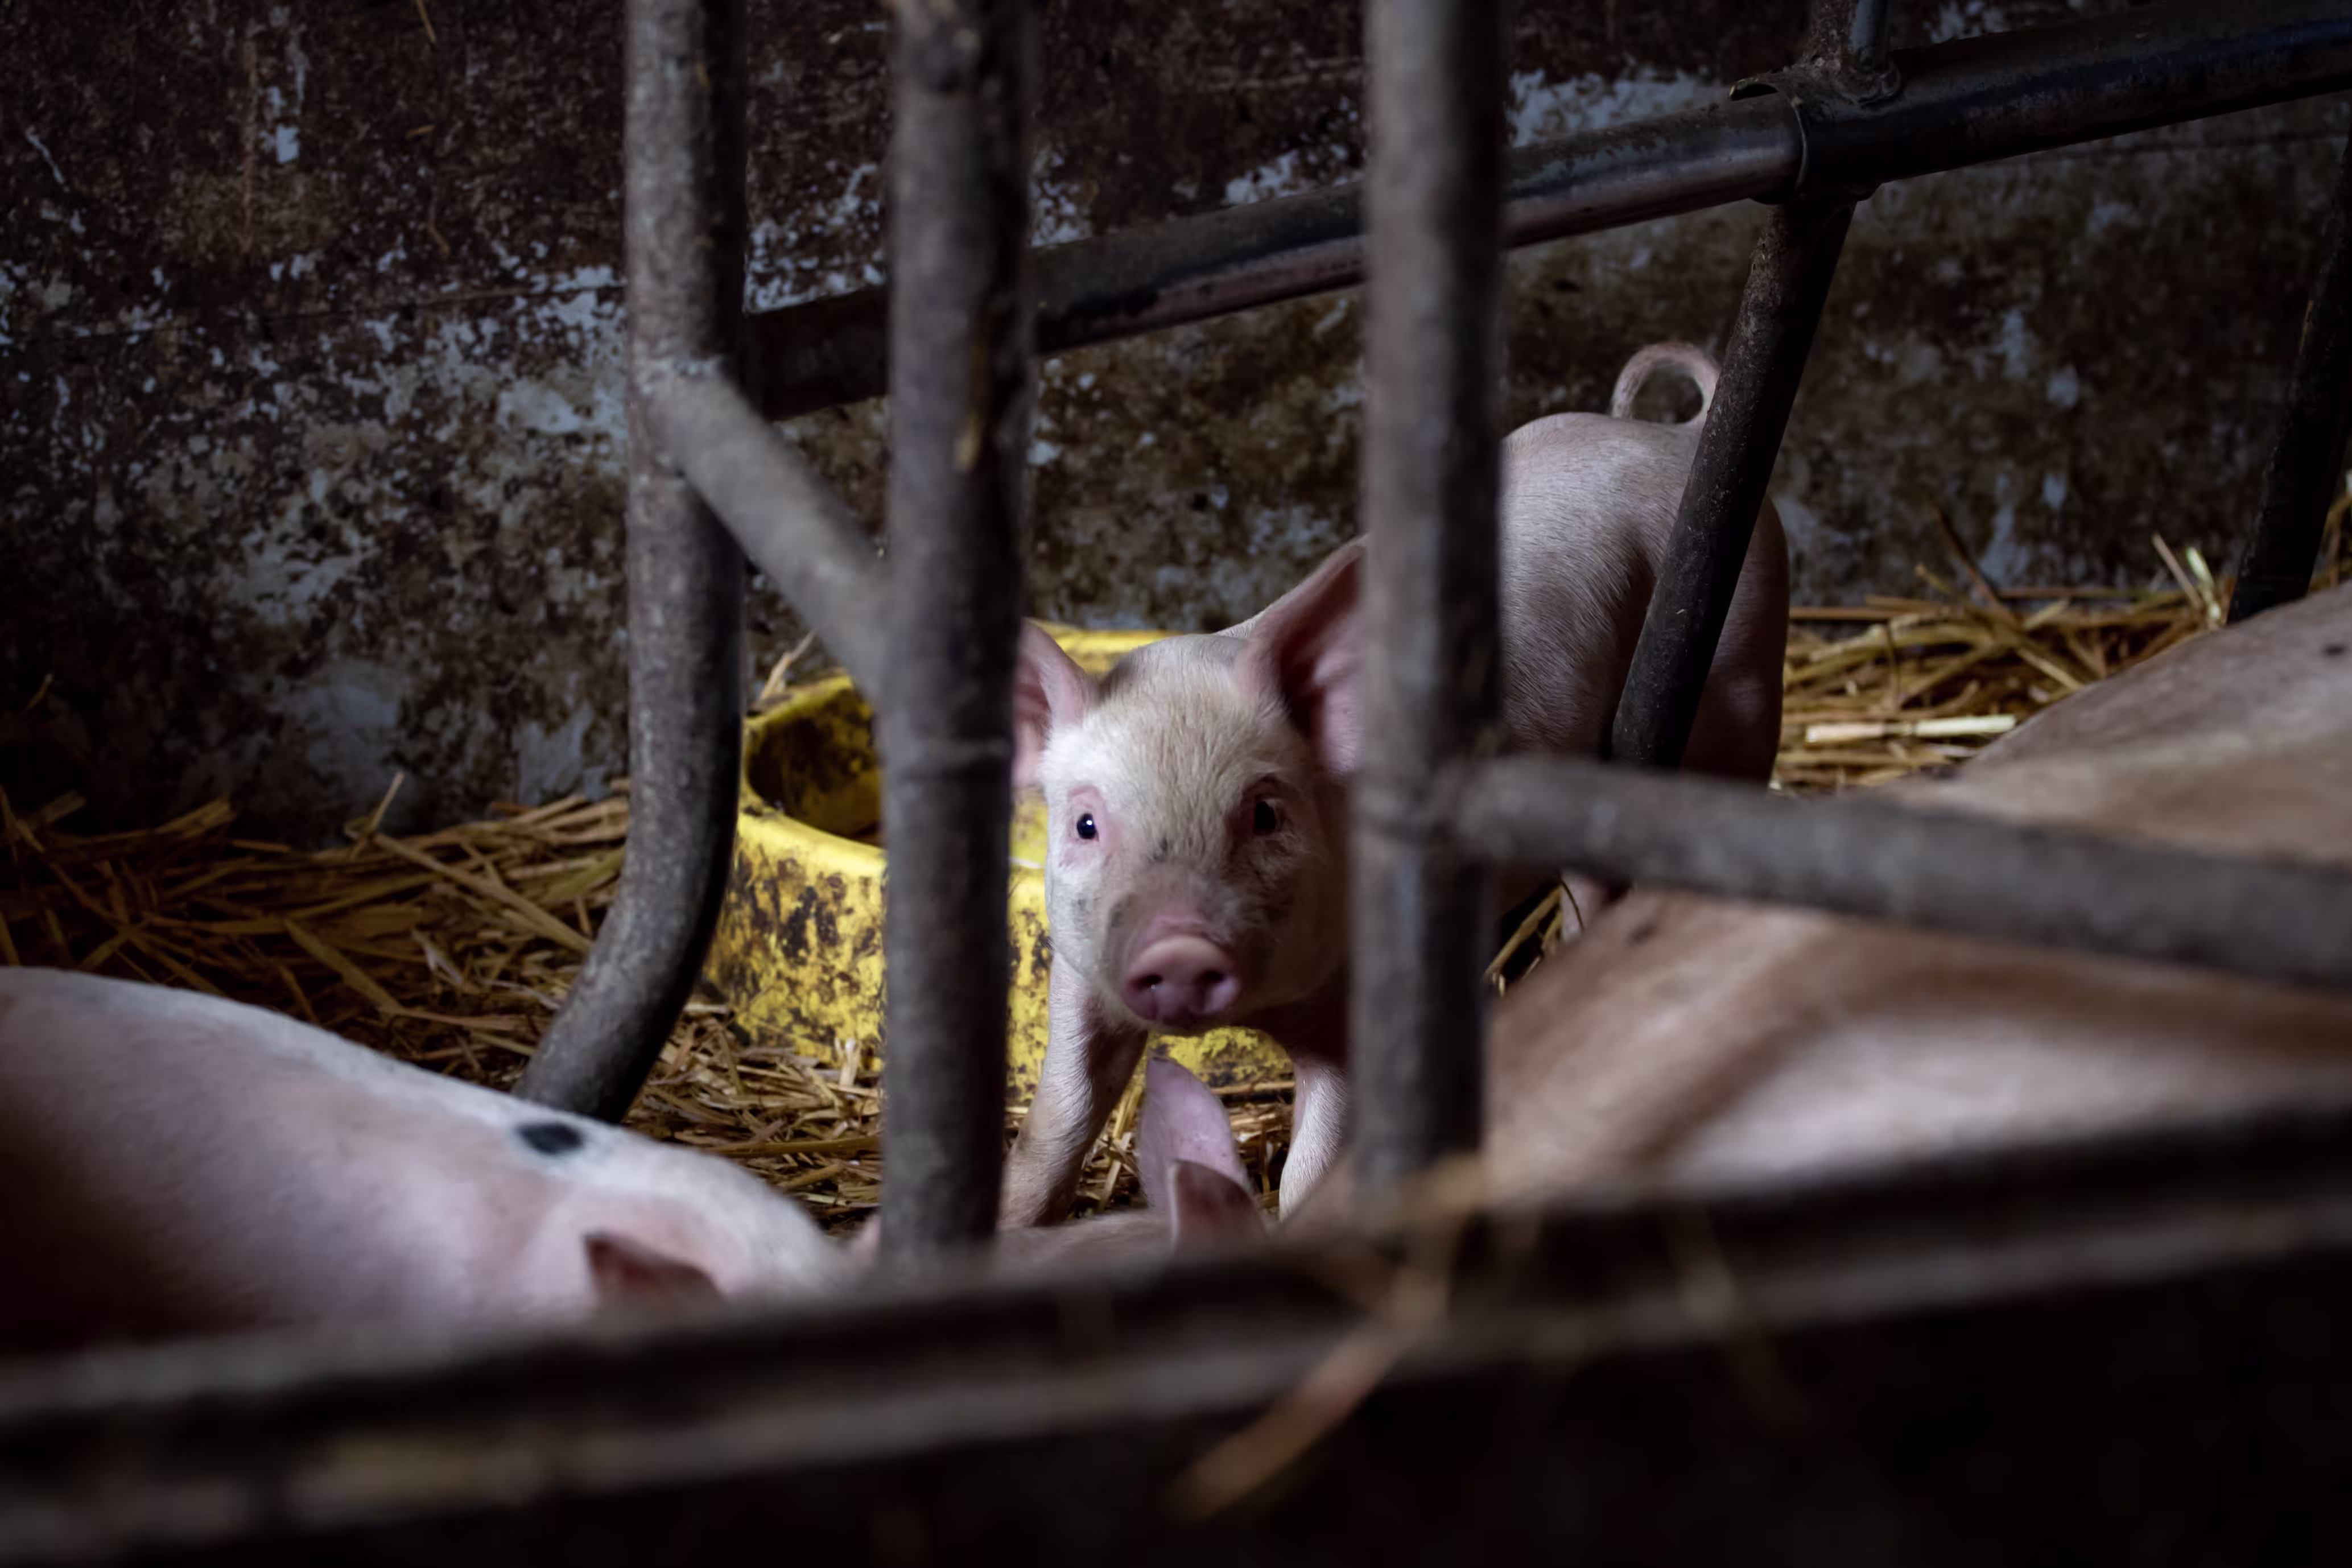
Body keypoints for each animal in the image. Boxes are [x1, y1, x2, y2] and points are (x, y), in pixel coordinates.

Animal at [1001, 341, 1790, 1228]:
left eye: (1265, 812)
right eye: (1086, 825)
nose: (1178, 944)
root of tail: (1677, 433)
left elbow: (1315, 1166)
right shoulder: (1079, 976)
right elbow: (1057, 1122)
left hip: (1741, 668)